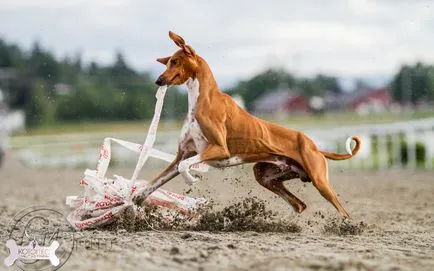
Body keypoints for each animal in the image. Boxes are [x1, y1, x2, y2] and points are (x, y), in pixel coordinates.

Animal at [134, 31, 362, 219]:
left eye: (174, 61)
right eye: (167, 63)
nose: (158, 80)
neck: (202, 100)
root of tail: (314, 146)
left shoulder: (219, 150)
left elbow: (184, 168)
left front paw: (191, 179)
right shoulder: (182, 155)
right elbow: (155, 182)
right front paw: (134, 200)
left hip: (320, 181)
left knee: (343, 212)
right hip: (264, 175)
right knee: (299, 205)